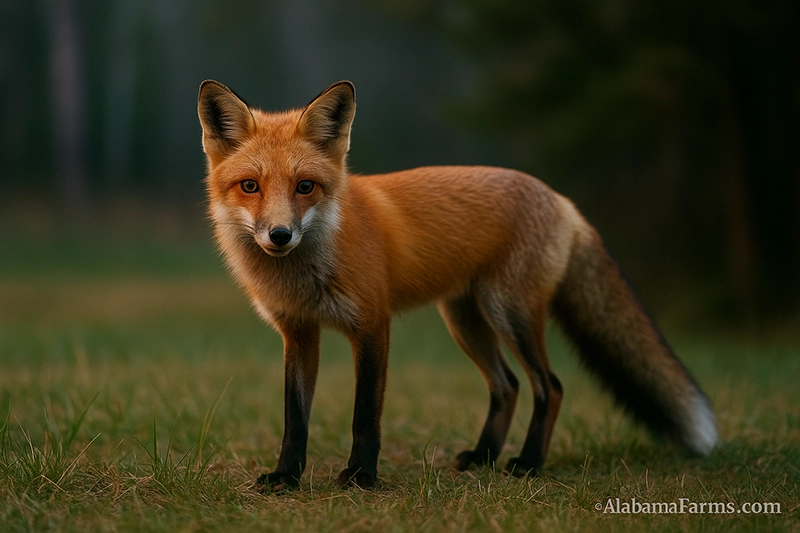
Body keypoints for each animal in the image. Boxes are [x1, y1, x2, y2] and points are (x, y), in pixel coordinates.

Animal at [197, 79, 717, 491]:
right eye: (250, 186)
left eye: (305, 187)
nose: (279, 235)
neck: (309, 268)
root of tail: (560, 198)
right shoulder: (300, 333)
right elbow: (295, 419)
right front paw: (286, 477)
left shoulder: (372, 325)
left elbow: (365, 416)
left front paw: (362, 477)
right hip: (465, 320)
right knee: (507, 385)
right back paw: (483, 456)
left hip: (510, 313)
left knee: (549, 386)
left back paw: (527, 463)